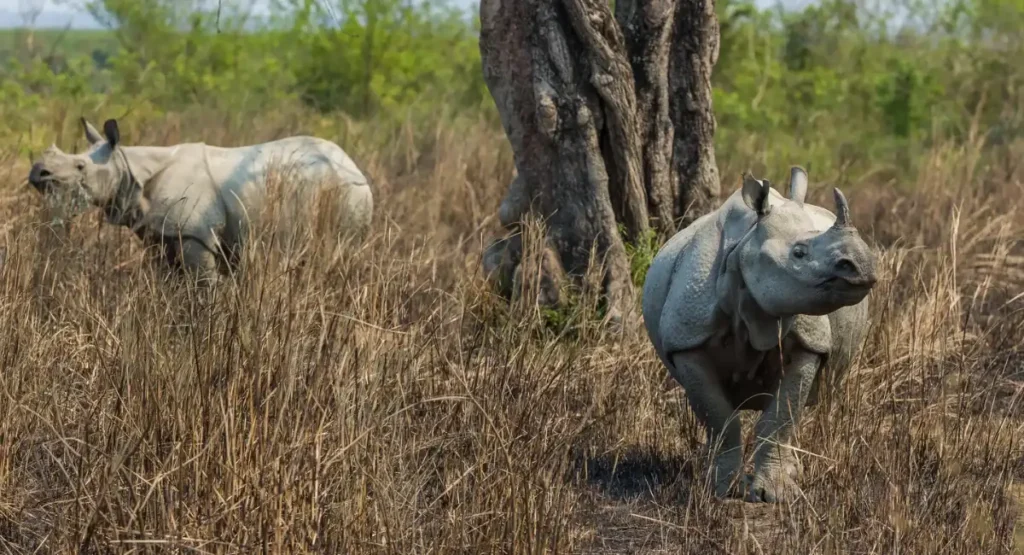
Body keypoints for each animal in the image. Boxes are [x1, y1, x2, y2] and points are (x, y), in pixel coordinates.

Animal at [27, 118, 374, 283]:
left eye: (80, 167)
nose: (37, 173)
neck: (128, 166)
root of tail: (356, 168)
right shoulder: (162, 233)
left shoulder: (196, 234)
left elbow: (203, 287)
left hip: (343, 190)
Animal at [642, 167, 878, 503]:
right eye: (799, 253)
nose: (862, 267)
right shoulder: (686, 342)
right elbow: (719, 418)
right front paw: (724, 490)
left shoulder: (811, 342)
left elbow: (779, 418)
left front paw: (777, 494)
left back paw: (792, 472)